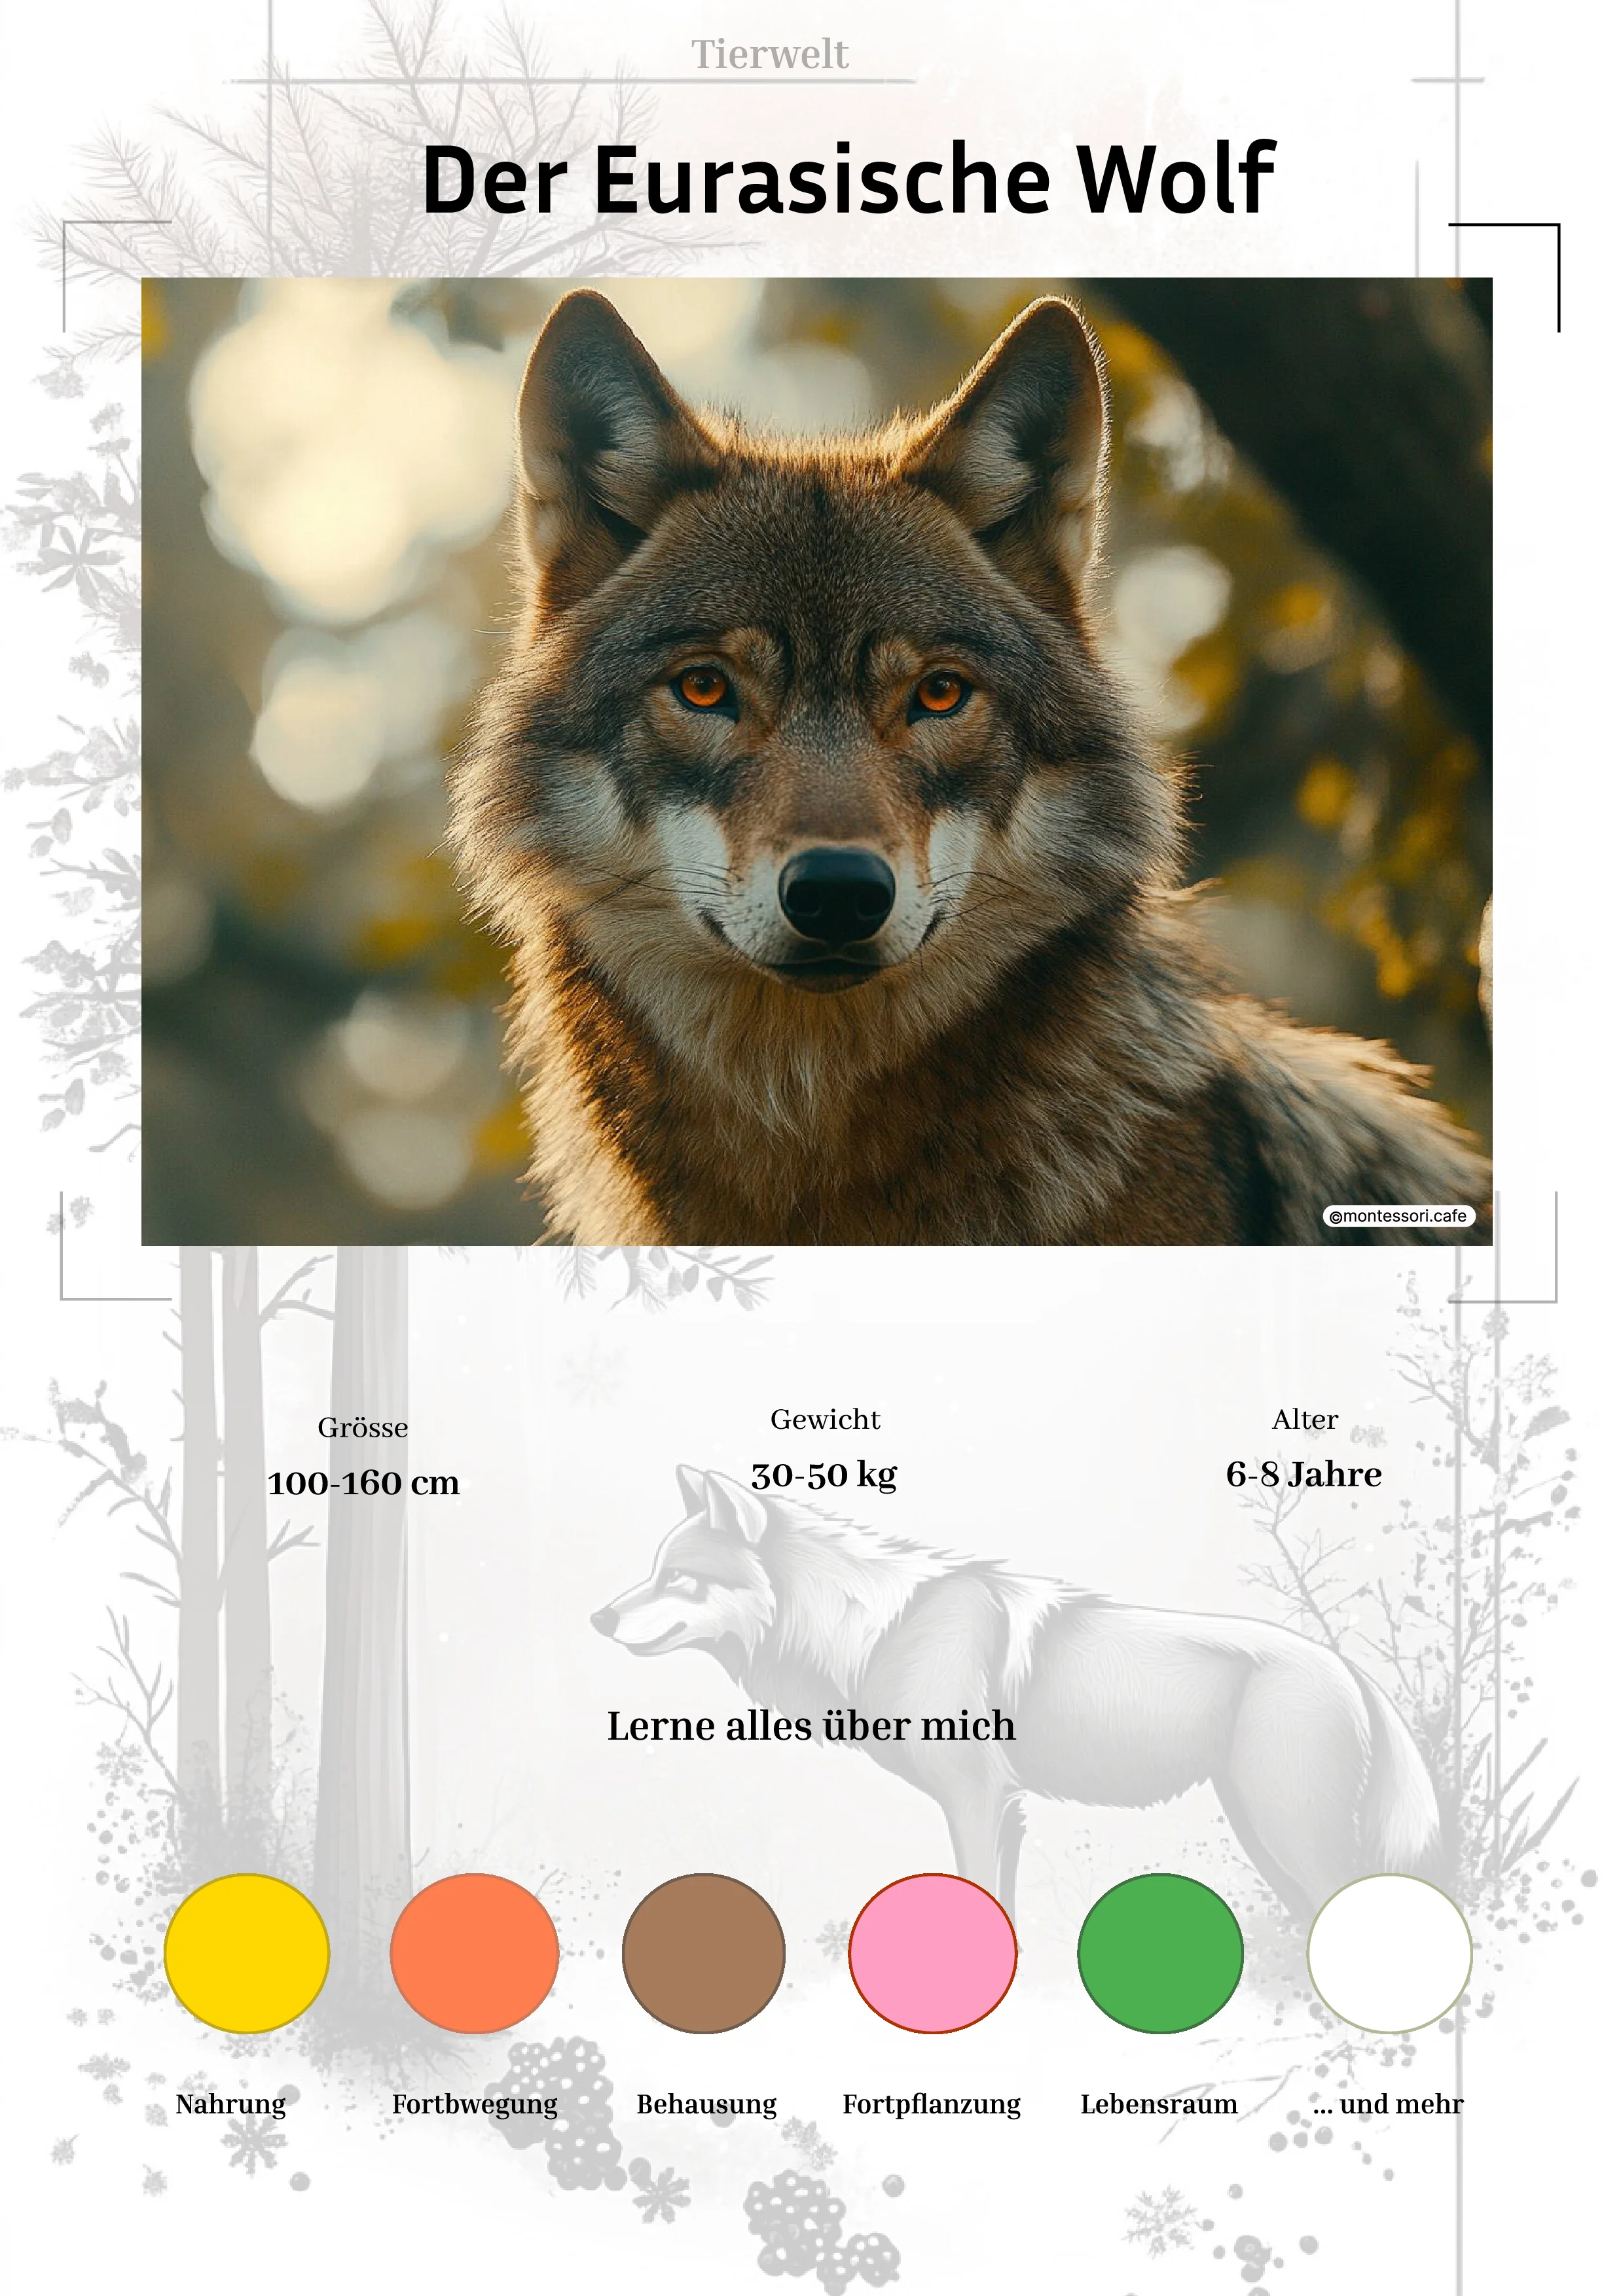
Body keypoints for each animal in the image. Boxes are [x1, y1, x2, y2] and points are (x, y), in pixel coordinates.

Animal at [591, 1468, 1442, 1924]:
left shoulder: (976, 1798)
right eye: (654, 1569)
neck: (877, 1630)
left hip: (1290, 1834)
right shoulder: (1008, 1809)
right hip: (1264, 1836)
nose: (598, 1617)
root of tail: (1348, 1667)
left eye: (678, 1577)